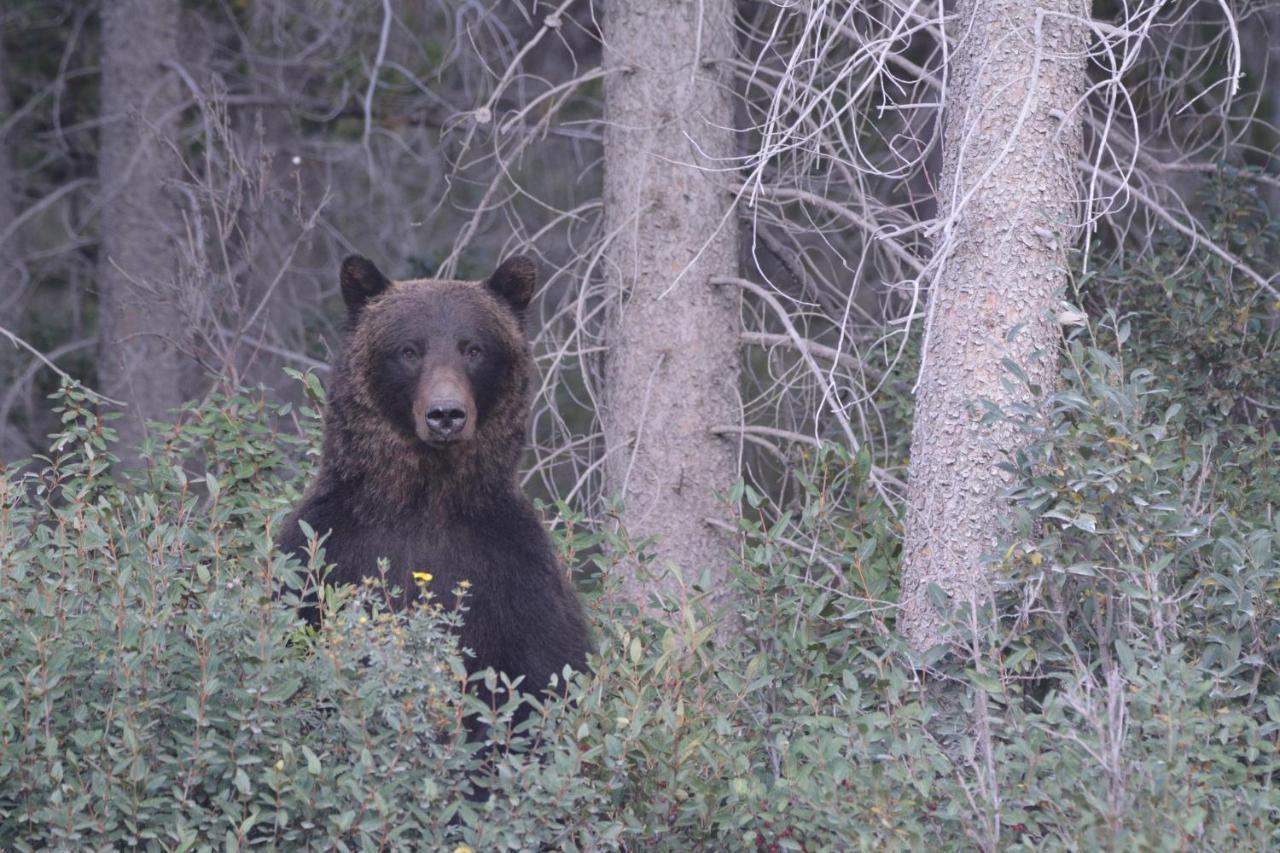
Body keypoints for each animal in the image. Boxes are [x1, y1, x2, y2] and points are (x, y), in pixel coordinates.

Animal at [280, 251, 588, 712]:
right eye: (409, 350)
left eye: (473, 348)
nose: (446, 414)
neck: (426, 498)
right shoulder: (324, 555)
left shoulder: (515, 576)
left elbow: (543, 677)